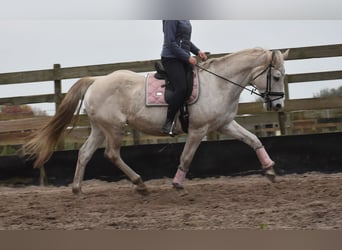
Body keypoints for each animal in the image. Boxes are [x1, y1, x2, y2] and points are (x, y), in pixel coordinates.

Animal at [22, 47, 288, 194]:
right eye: (276, 76)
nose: (277, 106)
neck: (218, 83)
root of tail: (96, 81)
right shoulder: (198, 130)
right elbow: (186, 157)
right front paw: (177, 184)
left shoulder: (224, 124)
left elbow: (253, 140)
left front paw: (270, 170)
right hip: (114, 128)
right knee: (111, 154)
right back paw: (139, 183)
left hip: (99, 128)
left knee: (85, 153)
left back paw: (78, 189)